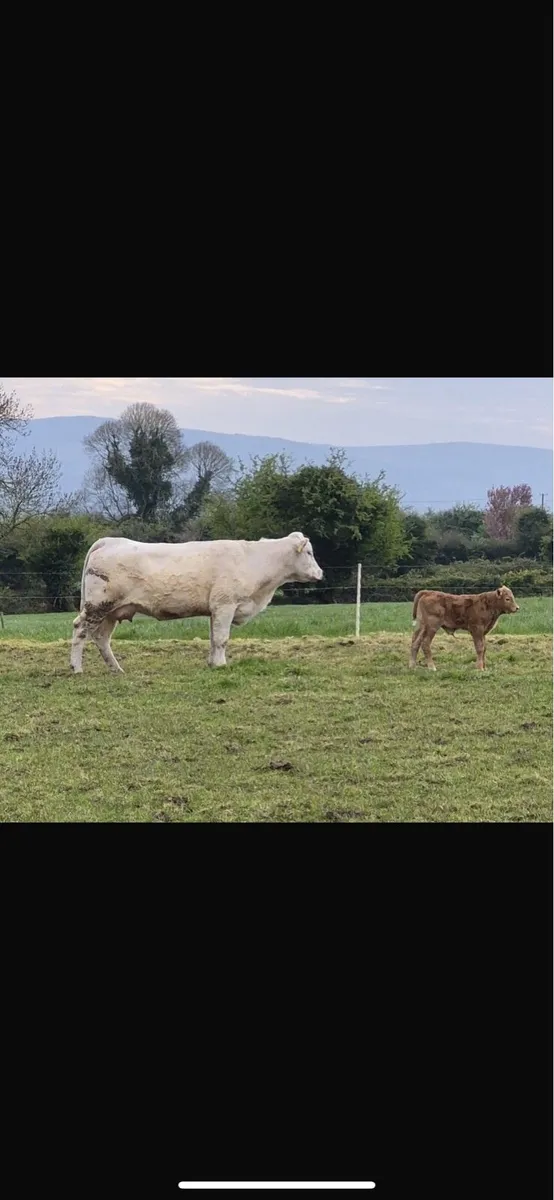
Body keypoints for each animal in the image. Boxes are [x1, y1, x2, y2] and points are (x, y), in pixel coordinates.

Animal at [70, 531, 323, 674]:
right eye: (310, 553)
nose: (320, 573)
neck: (254, 560)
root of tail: (110, 541)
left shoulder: (215, 610)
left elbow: (213, 638)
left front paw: (212, 663)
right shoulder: (225, 605)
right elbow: (221, 639)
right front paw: (221, 665)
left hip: (111, 612)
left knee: (101, 638)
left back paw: (116, 669)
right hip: (97, 605)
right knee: (80, 631)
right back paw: (76, 668)